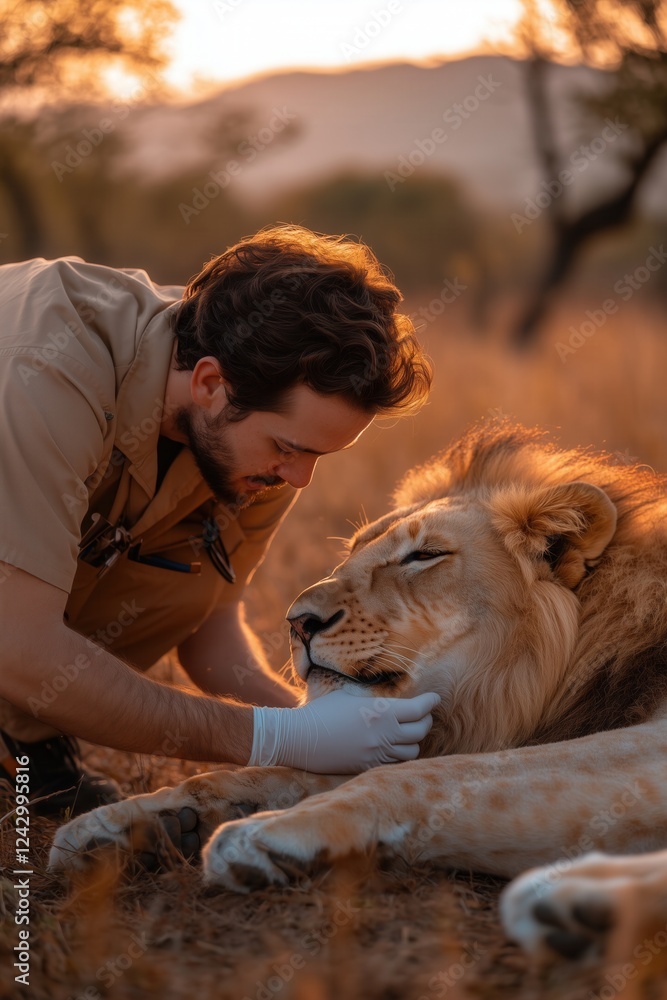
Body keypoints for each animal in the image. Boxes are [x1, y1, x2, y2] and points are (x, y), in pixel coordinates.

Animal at [49, 420, 667, 978]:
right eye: (351, 552)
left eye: (424, 555)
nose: (296, 622)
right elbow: (272, 773)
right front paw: (127, 825)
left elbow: (420, 776)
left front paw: (264, 832)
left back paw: (570, 909)